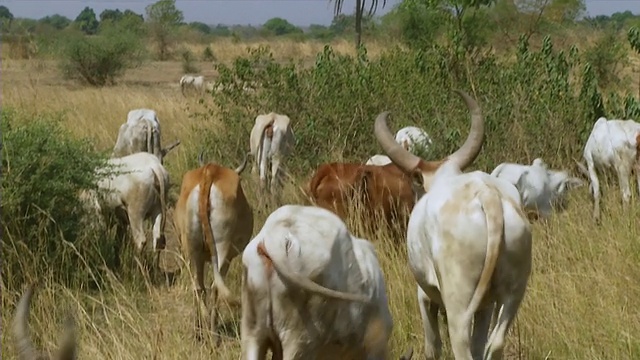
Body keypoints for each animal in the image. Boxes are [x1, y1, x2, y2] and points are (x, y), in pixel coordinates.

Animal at [175, 151, 258, 340]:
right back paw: (213, 333)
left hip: (191, 251)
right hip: (221, 250)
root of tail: (209, 172)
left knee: (197, 287)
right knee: (215, 287)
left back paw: (198, 331)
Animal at [372, 88, 532, 358]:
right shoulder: (486, 305)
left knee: (462, 345)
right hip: (513, 293)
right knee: (494, 343)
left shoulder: (425, 295)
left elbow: (432, 346)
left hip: (460, 301)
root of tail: (487, 196)